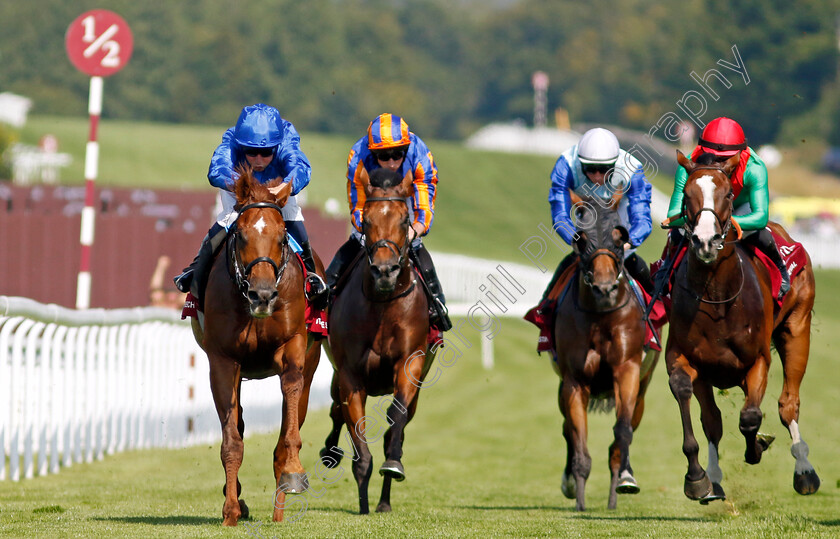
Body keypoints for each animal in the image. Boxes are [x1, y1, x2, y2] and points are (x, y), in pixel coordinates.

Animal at [192, 168, 324, 524]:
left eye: (282, 238)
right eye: (240, 235)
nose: (262, 295)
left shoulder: (293, 348)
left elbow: (289, 420)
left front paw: (293, 471)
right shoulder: (223, 361)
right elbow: (232, 440)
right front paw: (231, 510)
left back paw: (280, 504)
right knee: (237, 421)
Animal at [318, 168, 440, 516]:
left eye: (404, 219)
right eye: (368, 220)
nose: (385, 271)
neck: (384, 306)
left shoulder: (410, 364)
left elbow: (395, 421)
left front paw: (393, 465)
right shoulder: (349, 375)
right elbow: (357, 437)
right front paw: (362, 503)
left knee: (395, 424)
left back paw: (385, 499)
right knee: (335, 411)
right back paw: (330, 452)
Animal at [556, 199, 660, 510]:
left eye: (619, 238)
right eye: (582, 238)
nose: (604, 288)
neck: (601, 315)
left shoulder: (627, 370)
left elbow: (622, 431)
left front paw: (621, 483)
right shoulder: (574, 380)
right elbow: (577, 434)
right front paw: (579, 496)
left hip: (643, 386)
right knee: (566, 427)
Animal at [668, 150, 816, 504]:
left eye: (728, 195)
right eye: (687, 195)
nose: (705, 241)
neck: (717, 298)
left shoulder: (758, 359)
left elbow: (750, 418)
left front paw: (756, 448)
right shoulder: (686, 359)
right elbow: (696, 406)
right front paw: (699, 479)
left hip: (797, 327)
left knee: (787, 405)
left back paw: (804, 471)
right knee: (715, 419)